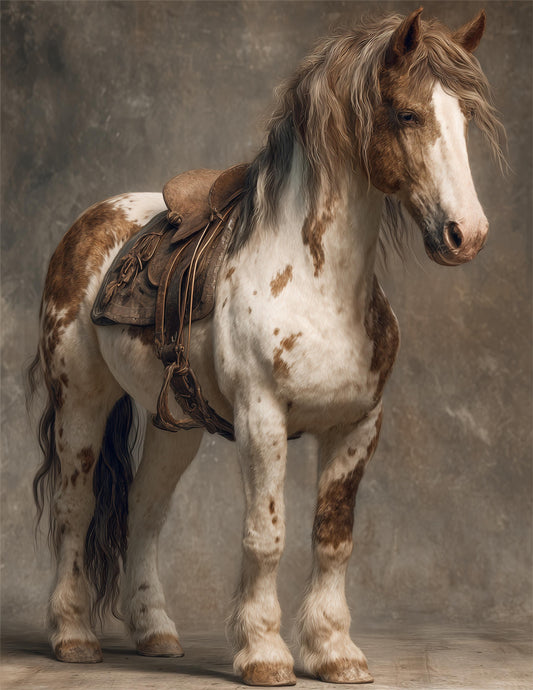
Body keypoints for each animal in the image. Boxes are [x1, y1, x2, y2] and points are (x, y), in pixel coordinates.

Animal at [27, 8, 504, 686]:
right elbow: (265, 535)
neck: (316, 281)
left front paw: (335, 651)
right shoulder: (262, 420)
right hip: (81, 405)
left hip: (174, 424)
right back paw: (72, 636)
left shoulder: (359, 425)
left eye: (464, 116)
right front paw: (265, 652)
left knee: (145, 509)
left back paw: (155, 631)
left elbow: (333, 537)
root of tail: (90, 221)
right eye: (407, 114)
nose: (468, 234)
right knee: (76, 505)